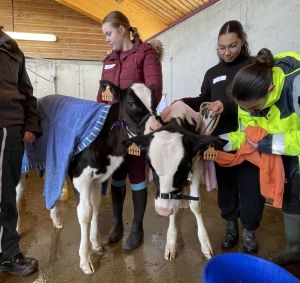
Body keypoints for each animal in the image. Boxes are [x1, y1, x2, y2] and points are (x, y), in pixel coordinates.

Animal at [16, 81, 162, 276]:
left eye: (155, 101)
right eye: (131, 103)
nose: (156, 128)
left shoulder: (97, 178)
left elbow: (96, 208)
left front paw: (97, 244)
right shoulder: (81, 177)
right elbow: (85, 213)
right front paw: (86, 261)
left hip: (52, 161)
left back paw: (56, 220)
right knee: (16, 195)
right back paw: (16, 229)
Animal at [120, 101, 226, 262]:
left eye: (183, 167)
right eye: (150, 166)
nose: (162, 210)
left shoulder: (197, 165)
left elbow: (195, 205)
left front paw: (205, 244)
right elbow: (172, 210)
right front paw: (170, 243)